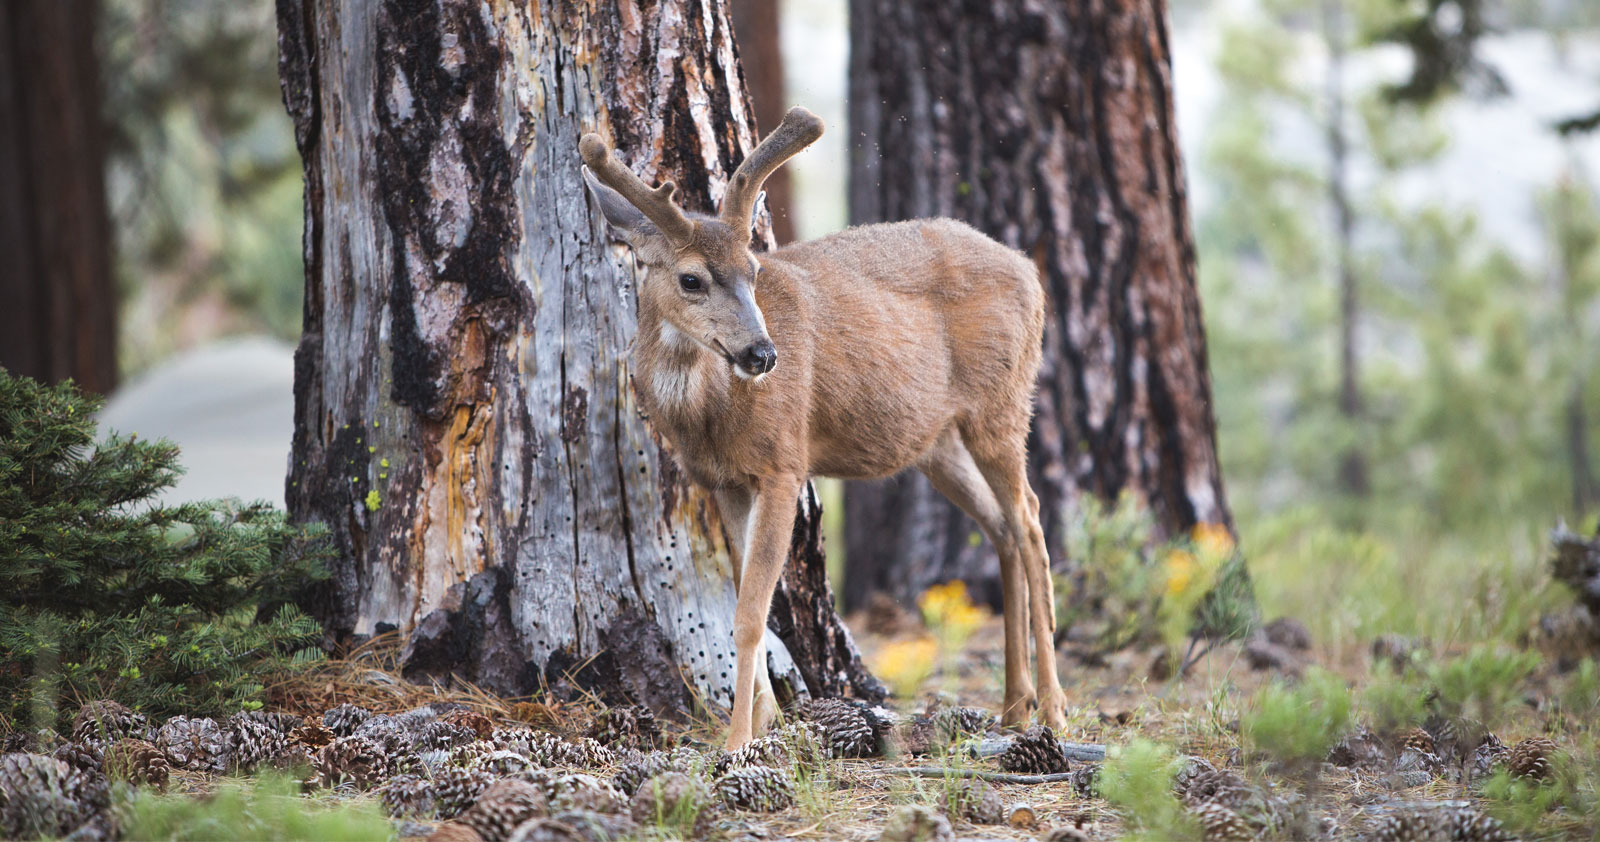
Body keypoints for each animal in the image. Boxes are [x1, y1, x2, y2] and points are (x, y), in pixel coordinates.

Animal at [582, 107, 1068, 752]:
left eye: (754, 269)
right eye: (691, 279)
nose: (763, 354)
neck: (709, 414)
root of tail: (1030, 272)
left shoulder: (784, 462)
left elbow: (750, 613)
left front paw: (738, 742)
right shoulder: (724, 481)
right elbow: (750, 600)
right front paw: (766, 721)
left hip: (1002, 404)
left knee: (1033, 523)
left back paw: (1055, 709)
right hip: (938, 442)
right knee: (1003, 529)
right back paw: (1015, 705)